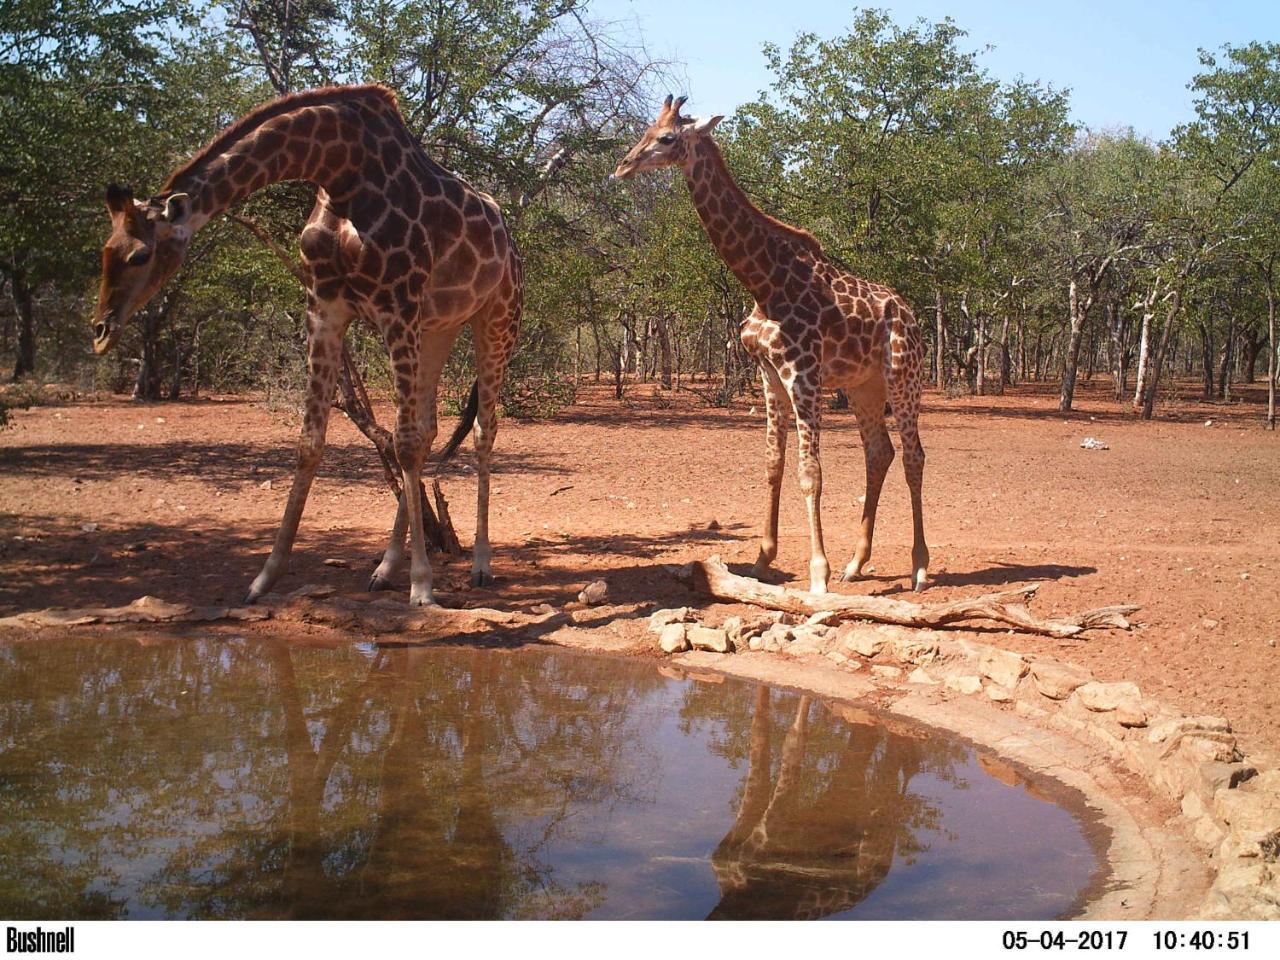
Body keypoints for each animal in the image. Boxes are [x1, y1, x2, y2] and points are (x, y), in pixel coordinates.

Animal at [90, 84, 522, 609]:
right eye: (104, 251)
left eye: (140, 254)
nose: (101, 330)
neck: (340, 172)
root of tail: (509, 239)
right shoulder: (325, 307)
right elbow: (311, 442)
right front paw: (264, 577)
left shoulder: (397, 304)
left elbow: (401, 443)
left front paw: (422, 586)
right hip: (439, 326)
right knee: (429, 429)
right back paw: (384, 568)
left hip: (496, 317)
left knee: (480, 430)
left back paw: (480, 565)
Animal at [611, 97, 931, 593]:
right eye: (645, 129)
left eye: (666, 137)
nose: (622, 167)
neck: (764, 283)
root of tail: (913, 317)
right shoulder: (768, 374)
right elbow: (773, 464)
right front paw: (763, 561)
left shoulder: (803, 375)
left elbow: (810, 473)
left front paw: (817, 574)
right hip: (863, 386)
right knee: (880, 453)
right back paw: (856, 563)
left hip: (903, 376)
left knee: (914, 457)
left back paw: (918, 568)